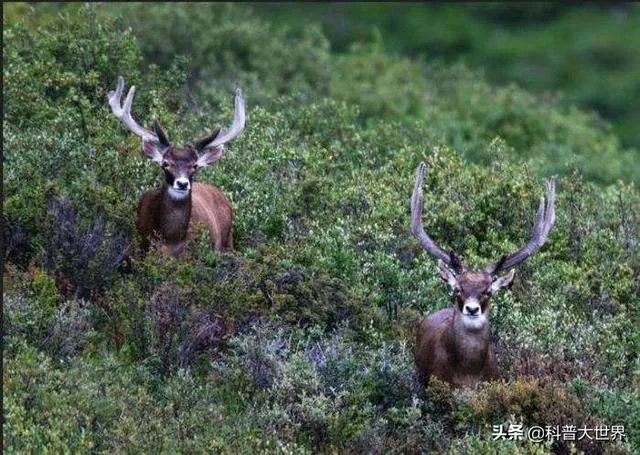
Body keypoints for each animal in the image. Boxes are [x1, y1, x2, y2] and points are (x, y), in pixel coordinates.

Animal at [108, 76, 245, 256]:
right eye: (165, 163)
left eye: (195, 166)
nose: (182, 183)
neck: (170, 241)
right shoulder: (138, 249)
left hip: (228, 242)